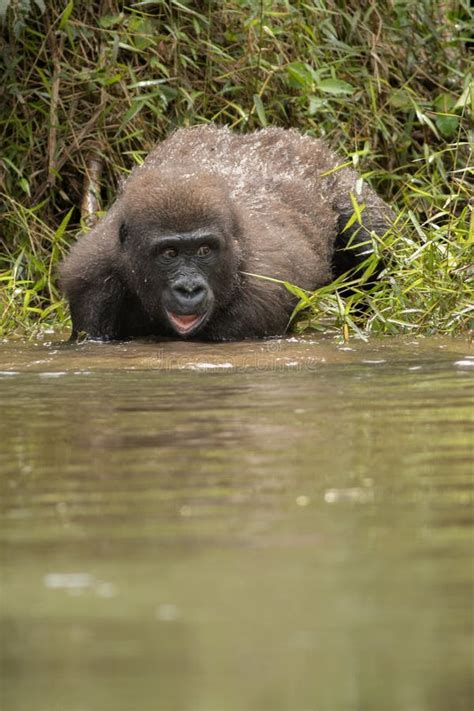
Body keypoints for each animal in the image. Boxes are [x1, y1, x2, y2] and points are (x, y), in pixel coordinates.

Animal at [60, 126, 392, 342]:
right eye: (169, 253)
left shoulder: (258, 301)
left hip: (342, 182)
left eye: (204, 250)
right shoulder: (90, 281)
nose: (189, 289)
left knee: (370, 246)